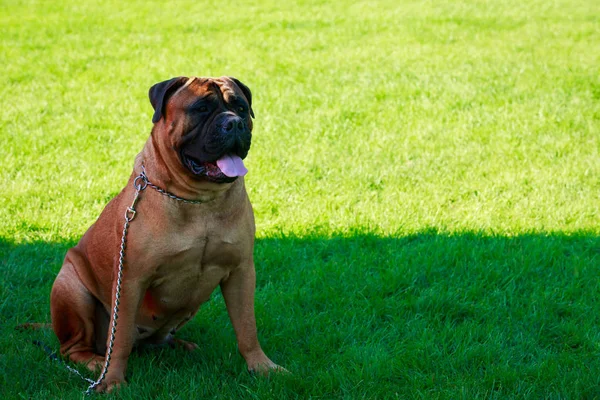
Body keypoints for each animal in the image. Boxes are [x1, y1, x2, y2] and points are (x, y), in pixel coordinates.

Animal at [50, 76, 284, 392]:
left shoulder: (241, 270)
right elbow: (119, 336)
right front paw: (113, 380)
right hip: (70, 288)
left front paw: (262, 367)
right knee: (74, 348)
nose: (234, 123)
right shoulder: (131, 280)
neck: (199, 200)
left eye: (240, 107)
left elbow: (247, 326)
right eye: (201, 108)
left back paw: (182, 345)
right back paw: (96, 363)